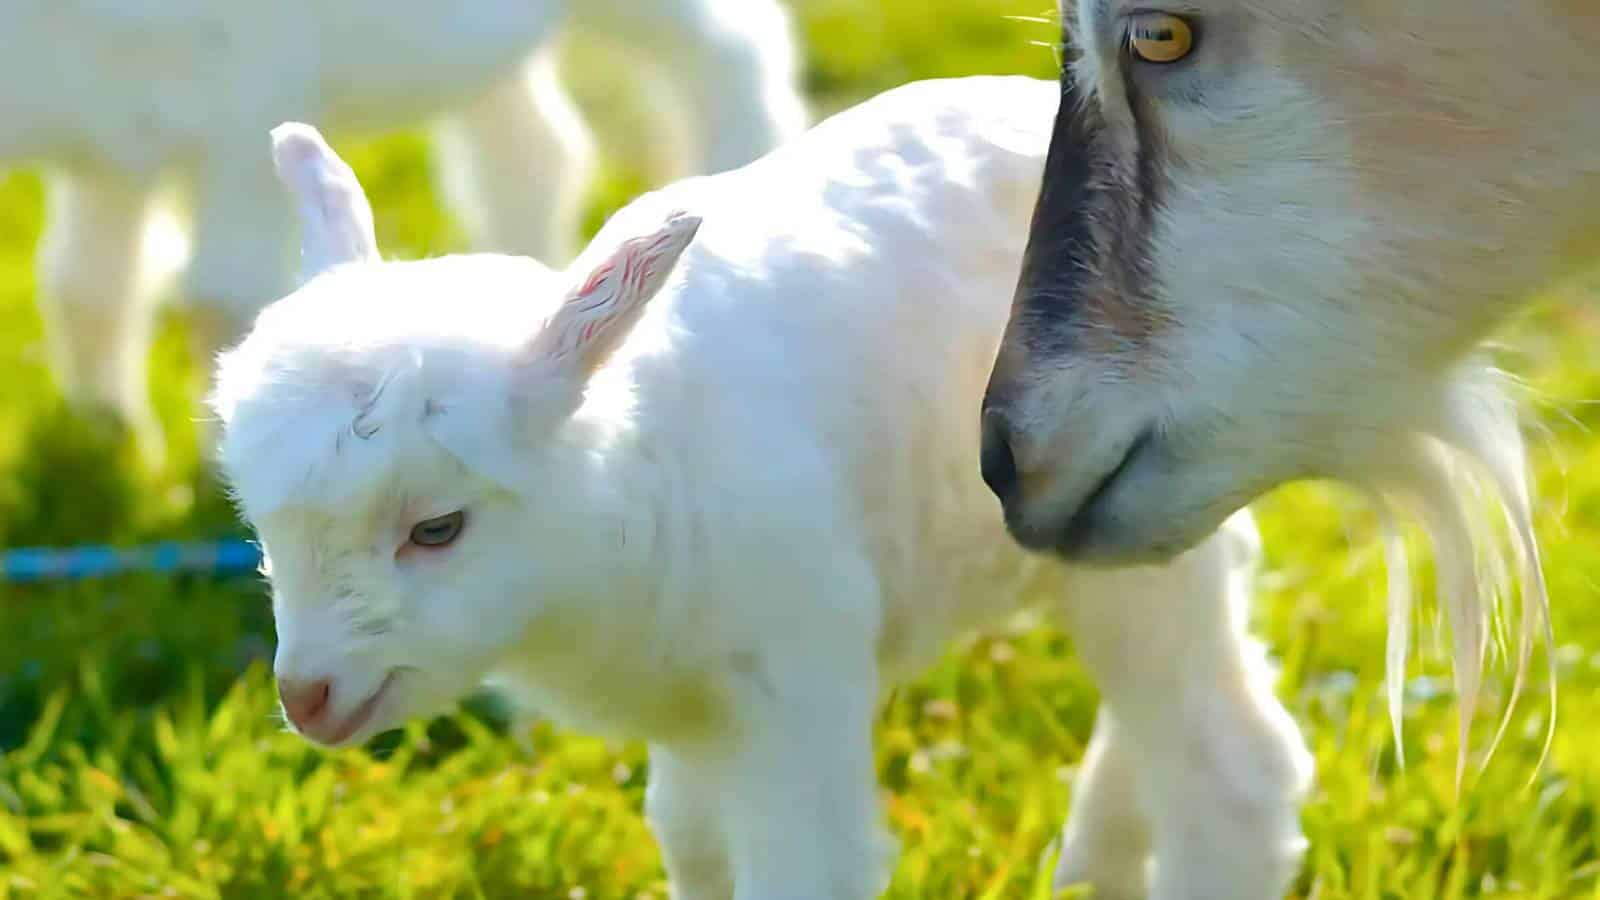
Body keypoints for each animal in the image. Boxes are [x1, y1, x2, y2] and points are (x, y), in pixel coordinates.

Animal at [3, 0, 805, 456]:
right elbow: (85, 287)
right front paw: (107, 436)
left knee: (732, 48)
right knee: (537, 149)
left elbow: (222, 302)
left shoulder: (241, 107)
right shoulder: (105, 147)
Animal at [210, 77, 1314, 899]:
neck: (641, 466)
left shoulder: (796, 681)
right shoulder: (694, 713)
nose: (306, 698)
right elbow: (696, 847)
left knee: (1231, 766)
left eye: (436, 528)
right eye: (264, 531)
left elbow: (804, 865)